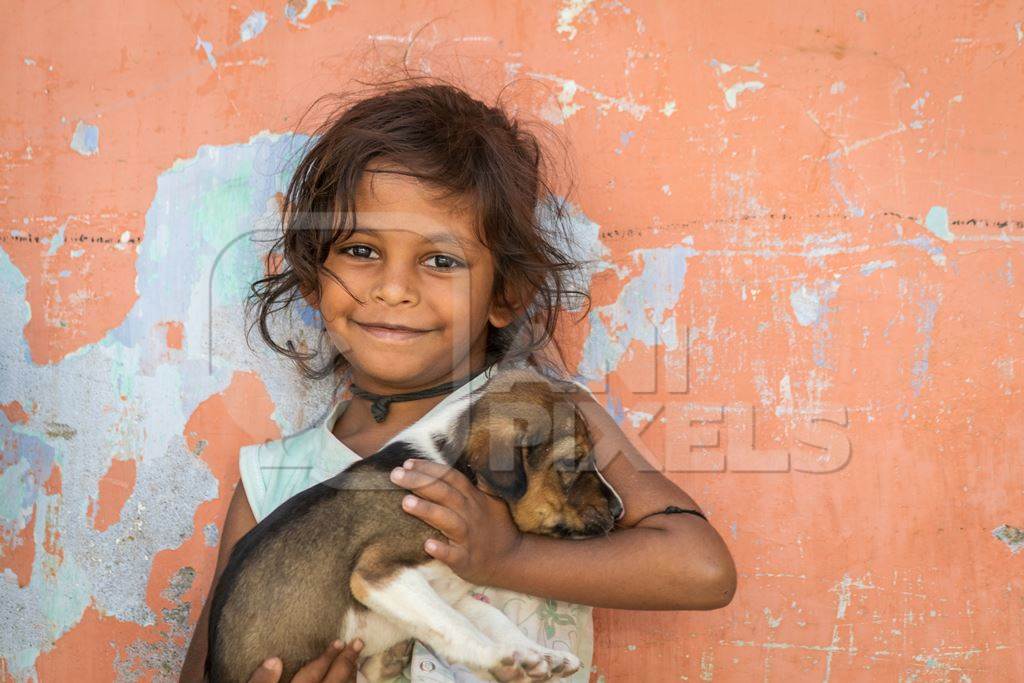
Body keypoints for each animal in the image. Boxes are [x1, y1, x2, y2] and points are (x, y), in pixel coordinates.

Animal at [205, 368, 622, 683]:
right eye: (571, 463)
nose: (619, 511)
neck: (458, 469)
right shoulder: (378, 574)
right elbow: (457, 625)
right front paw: (503, 659)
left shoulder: (445, 586)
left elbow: (489, 616)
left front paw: (539, 654)